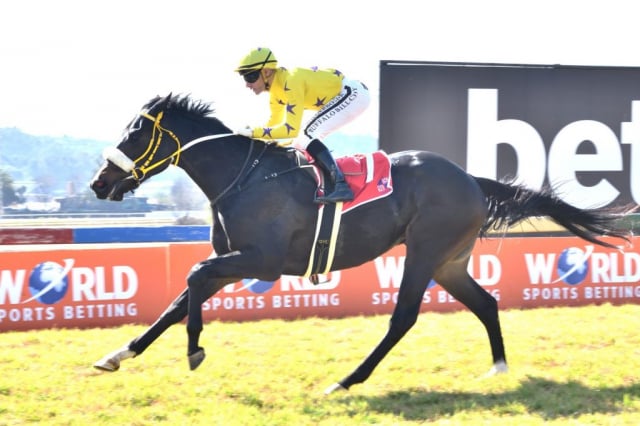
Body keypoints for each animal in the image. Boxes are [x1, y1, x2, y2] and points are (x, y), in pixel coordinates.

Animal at [89, 93, 633, 394]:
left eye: (135, 134)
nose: (99, 183)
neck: (242, 177)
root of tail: (472, 180)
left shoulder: (260, 262)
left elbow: (193, 279)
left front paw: (195, 350)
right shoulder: (237, 259)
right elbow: (181, 298)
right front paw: (118, 354)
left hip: (424, 251)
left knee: (403, 318)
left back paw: (347, 380)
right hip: (449, 262)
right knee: (486, 303)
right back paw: (498, 369)